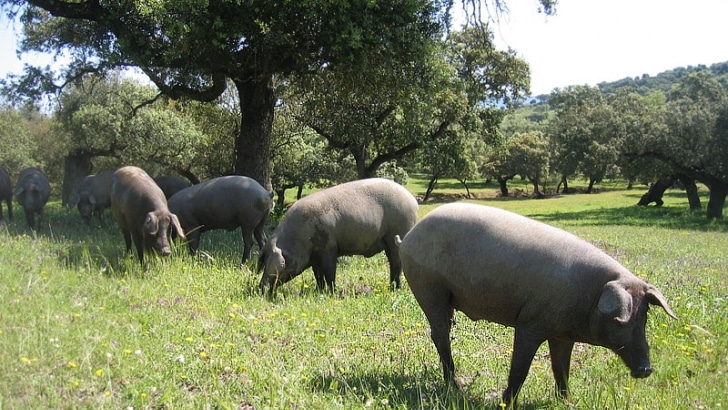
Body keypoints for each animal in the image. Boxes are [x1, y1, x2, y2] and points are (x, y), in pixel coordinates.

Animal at [258, 178, 418, 293]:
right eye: (264, 263)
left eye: (282, 264)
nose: (261, 289)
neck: (300, 239)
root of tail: (413, 201)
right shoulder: (315, 256)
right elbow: (318, 275)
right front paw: (319, 291)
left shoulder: (329, 248)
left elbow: (329, 273)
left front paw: (332, 292)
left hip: (398, 232)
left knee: (396, 263)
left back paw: (395, 289)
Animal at [396, 203, 677, 406]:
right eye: (621, 319)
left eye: (645, 316)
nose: (646, 368)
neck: (587, 294)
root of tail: (408, 237)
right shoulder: (530, 323)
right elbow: (521, 368)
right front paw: (506, 403)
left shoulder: (562, 335)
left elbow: (561, 368)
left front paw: (566, 402)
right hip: (429, 288)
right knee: (439, 334)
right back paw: (457, 387)